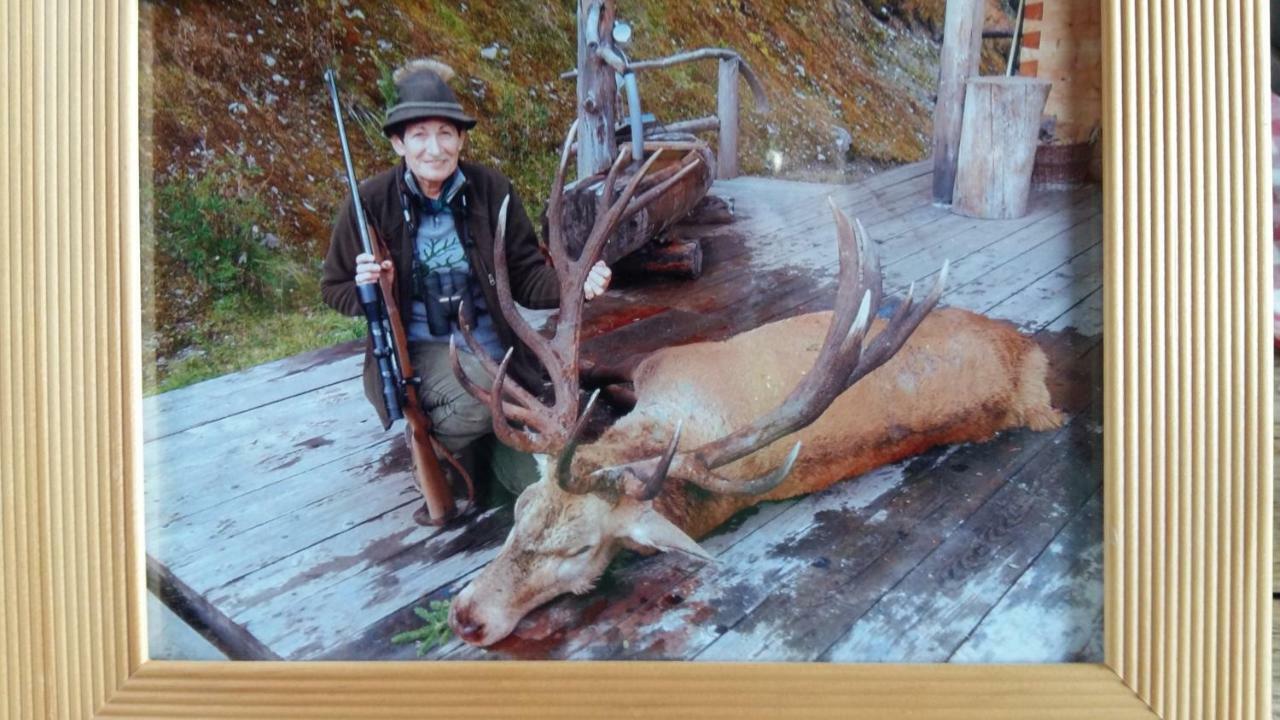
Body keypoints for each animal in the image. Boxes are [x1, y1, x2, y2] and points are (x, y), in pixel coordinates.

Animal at [440, 122, 1059, 645]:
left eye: (582, 549)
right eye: (520, 509)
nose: (467, 617)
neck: (667, 426)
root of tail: (1025, 350)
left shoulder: (663, 358)